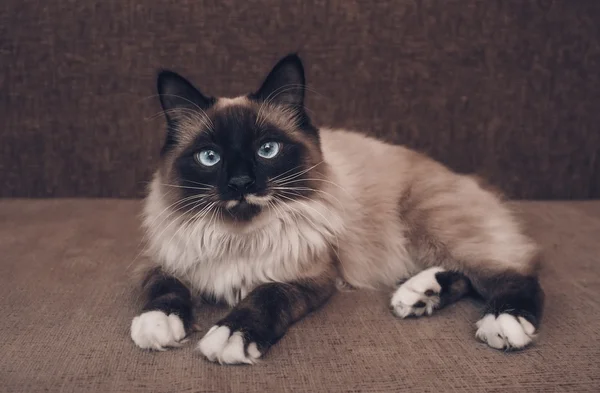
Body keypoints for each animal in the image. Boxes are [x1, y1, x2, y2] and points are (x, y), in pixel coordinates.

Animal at [131, 53, 544, 362]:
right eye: (209, 157)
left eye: (267, 150)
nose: (241, 184)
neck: (239, 237)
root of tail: (467, 177)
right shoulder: (164, 258)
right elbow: (164, 288)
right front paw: (156, 325)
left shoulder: (306, 276)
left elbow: (263, 297)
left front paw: (230, 337)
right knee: (463, 275)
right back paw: (417, 297)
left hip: (431, 224)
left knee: (514, 273)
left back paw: (502, 323)